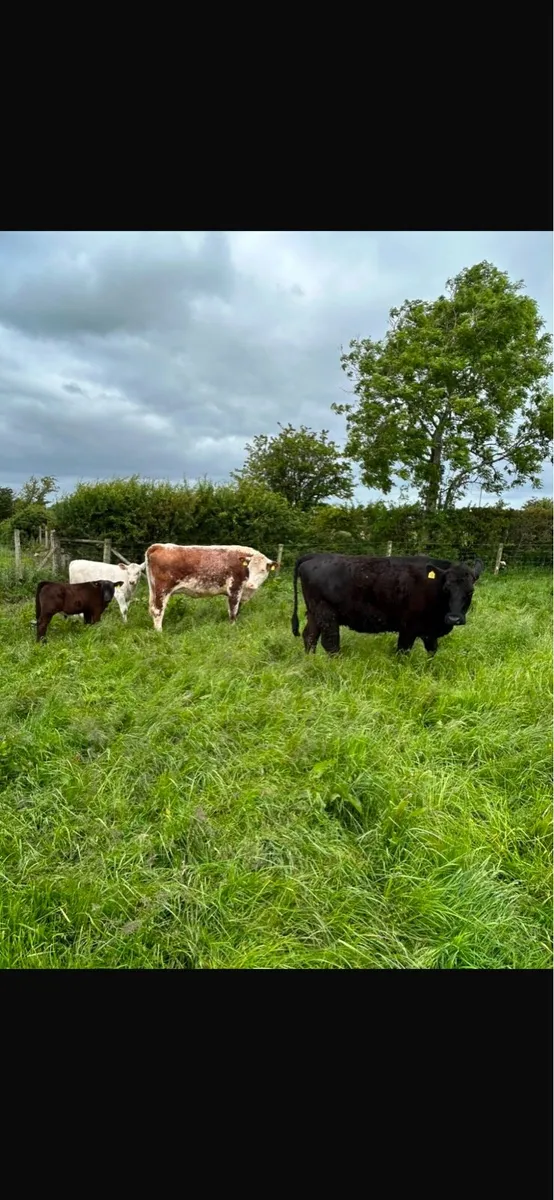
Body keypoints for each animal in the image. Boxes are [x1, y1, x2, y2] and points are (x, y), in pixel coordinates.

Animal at [145, 543, 278, 631]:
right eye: (249, 569)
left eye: (262, 570)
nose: (250, 584)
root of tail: (160, 546)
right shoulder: (235, 589)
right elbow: (233, 611)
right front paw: (232, 627)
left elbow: (237, 610)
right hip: (162, 590)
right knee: (157, 610)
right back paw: (159, 632)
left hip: (154, 590)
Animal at [291, 553, 484, 657]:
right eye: (446, 589)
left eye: (470, 591)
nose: (454, 618)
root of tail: (316, 556)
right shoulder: (408, 628)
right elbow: (403, 651)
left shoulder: (429, 630)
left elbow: (432, 650)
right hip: (327, 614)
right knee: (330, 644)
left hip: (314, 613)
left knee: (309, 636)